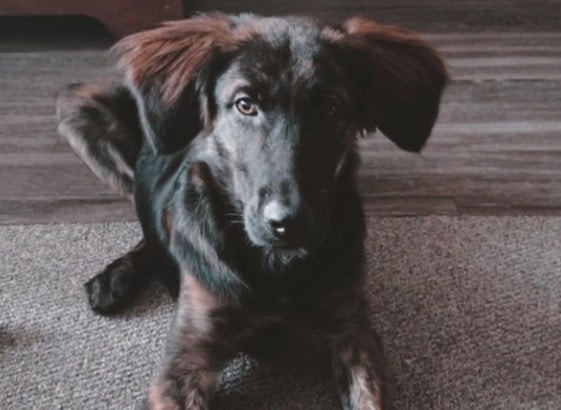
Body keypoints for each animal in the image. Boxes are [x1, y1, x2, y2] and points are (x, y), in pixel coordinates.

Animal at [54, 13, 444, 410]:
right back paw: (115, 277)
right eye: (245, 104)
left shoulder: (353, 330)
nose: (289, 223)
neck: (278, 265)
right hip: (82, 107)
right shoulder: (185, 359)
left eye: (330, 107)